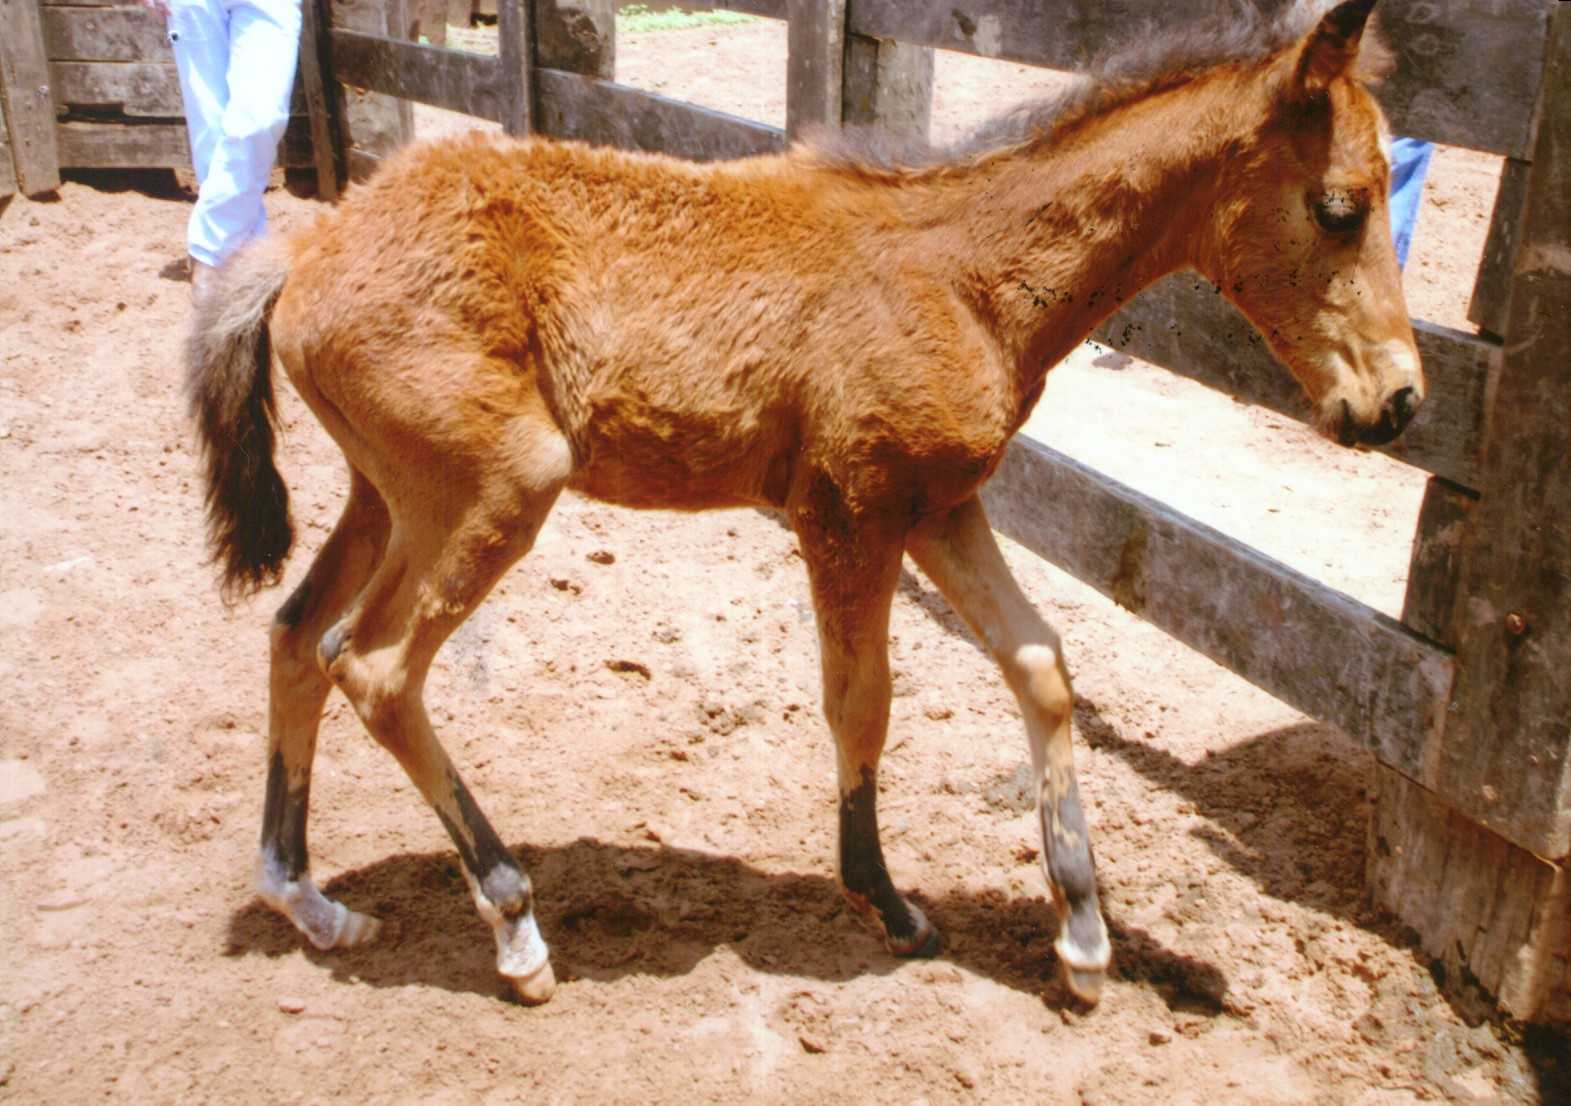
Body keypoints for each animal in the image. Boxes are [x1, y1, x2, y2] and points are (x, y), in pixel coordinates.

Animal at [188, 0, 1422, 1006]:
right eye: (1338, 207)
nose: (1398, 401)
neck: (960, 275)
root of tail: (304, 248)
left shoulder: (943, 505)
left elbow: (1038, 663)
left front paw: (1080, 934)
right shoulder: (850, 509)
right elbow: (859, 701)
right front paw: (887, 902)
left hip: (390, 496)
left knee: (296, 635)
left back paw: (307, 898)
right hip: (496, 485)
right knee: (374, 667)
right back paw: (515, 926)